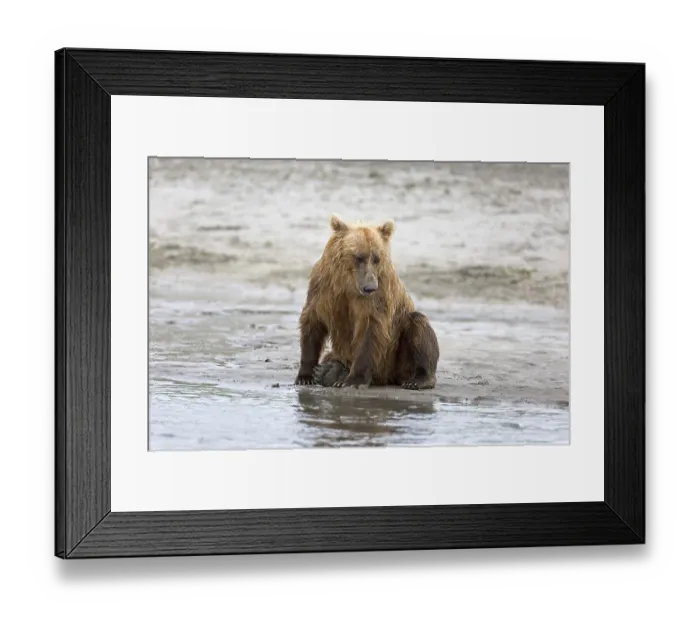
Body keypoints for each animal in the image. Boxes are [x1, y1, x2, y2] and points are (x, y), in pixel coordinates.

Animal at [294, 214, 439, 390]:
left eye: (376, 258)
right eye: (359, 257)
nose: (370, 287)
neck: (349, 283)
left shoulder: (378, 293)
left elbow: (370, 330)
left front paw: (353, 381)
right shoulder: (324, 288)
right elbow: (313, 320)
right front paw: (305, 376)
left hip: (395, 356)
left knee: (418, 325)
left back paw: (417, 380)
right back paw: (328, 370)